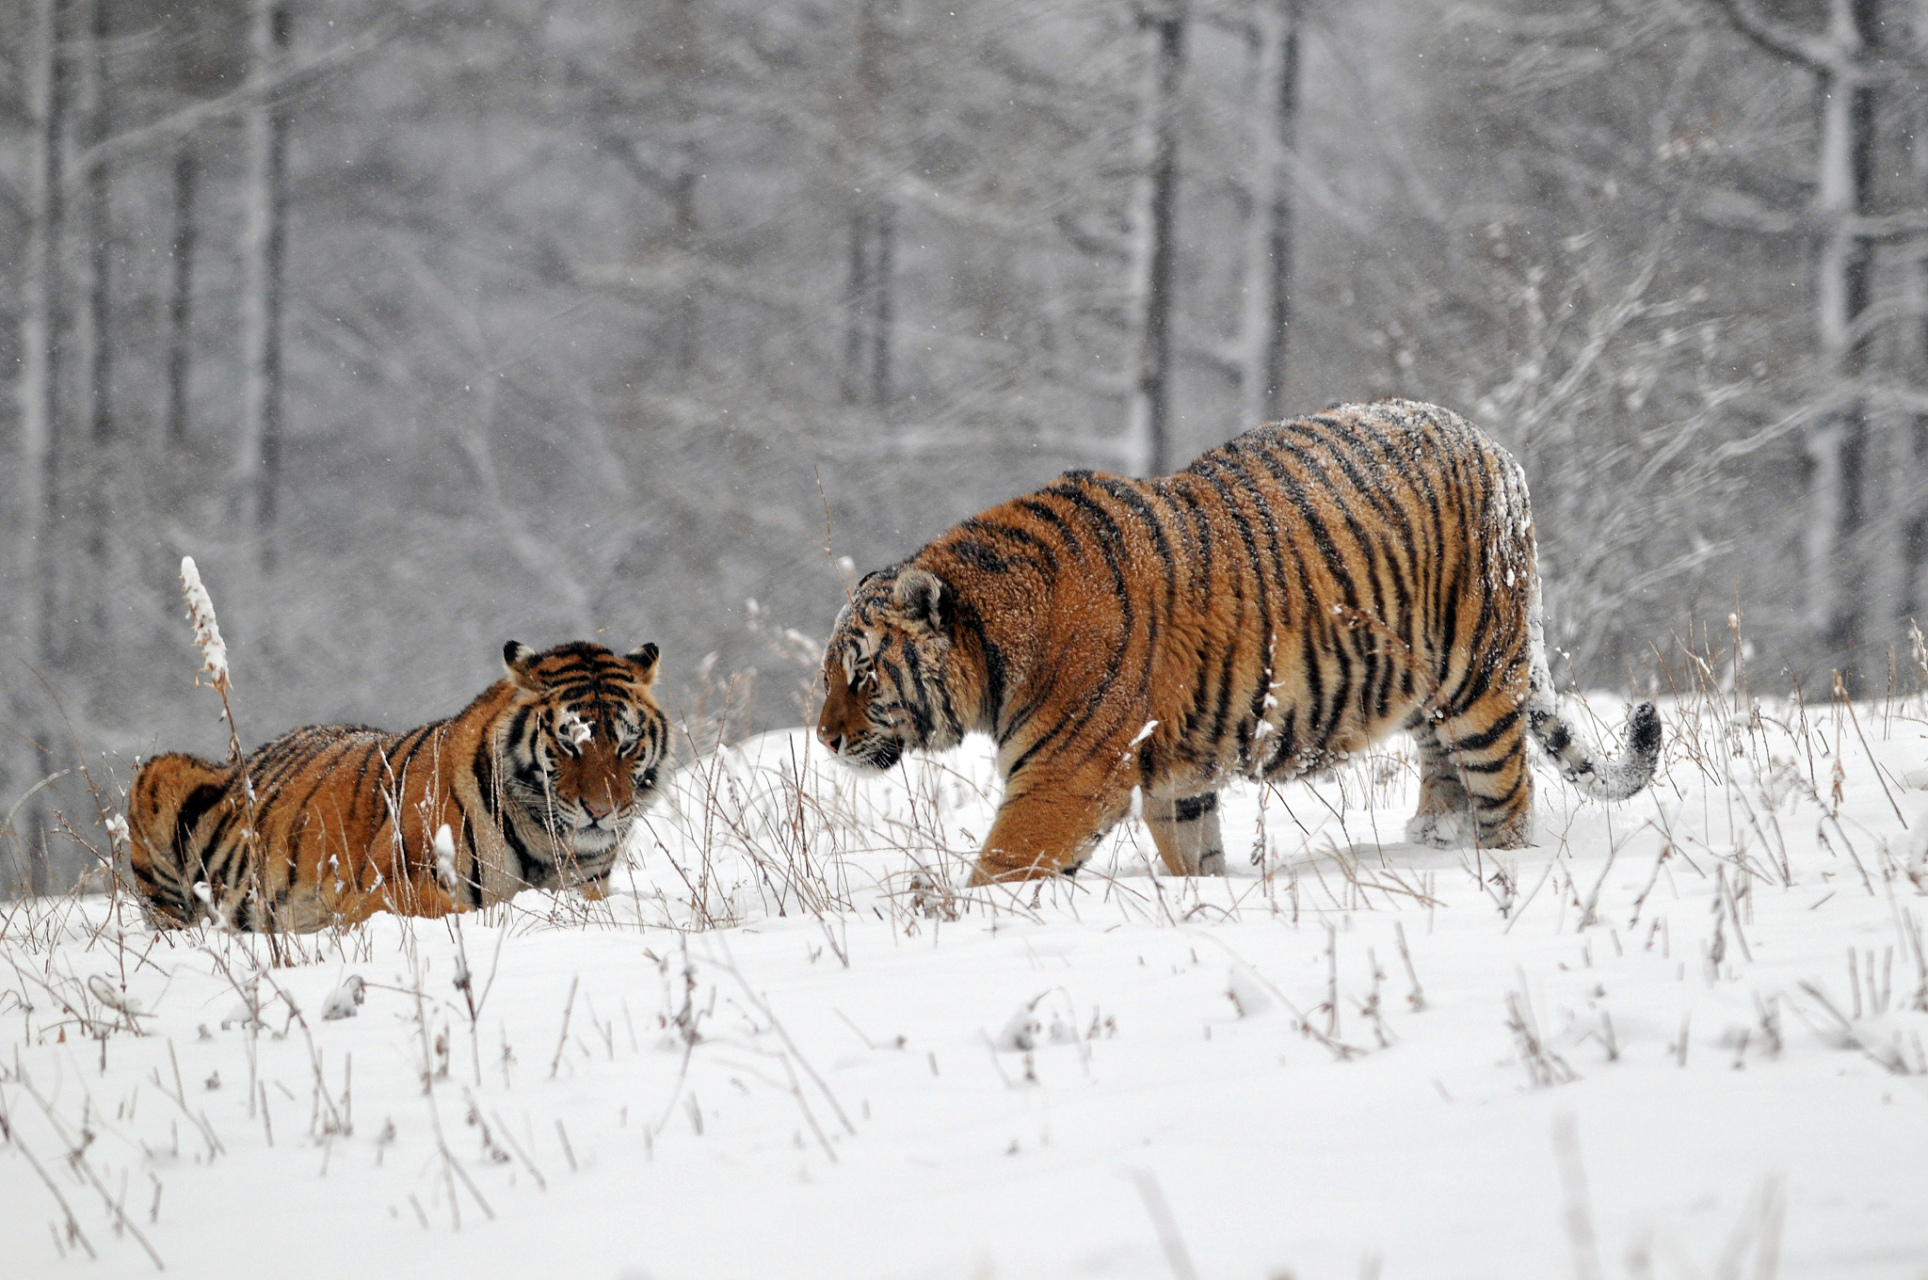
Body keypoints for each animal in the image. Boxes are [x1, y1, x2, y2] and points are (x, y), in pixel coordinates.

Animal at [130, 640, 670, 929]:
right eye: (568, 743)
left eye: (626, 744)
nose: (601, 810)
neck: (545, 840)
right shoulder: (383, 889)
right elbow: (449, 909)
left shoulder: (586, 887)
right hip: (157, 778)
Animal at [813, 395, 1658, 886]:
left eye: (862, 674)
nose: (824, 738)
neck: (998, 649)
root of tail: (1493, 447)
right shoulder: (1176, 782)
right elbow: (1195, 858)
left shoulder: (1061, 782)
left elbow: (999, 869)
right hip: (1421, 693)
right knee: (1441, 762)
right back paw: (1431, 836)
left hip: (1480, 679)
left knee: (1508, 793)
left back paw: (1491, 863)